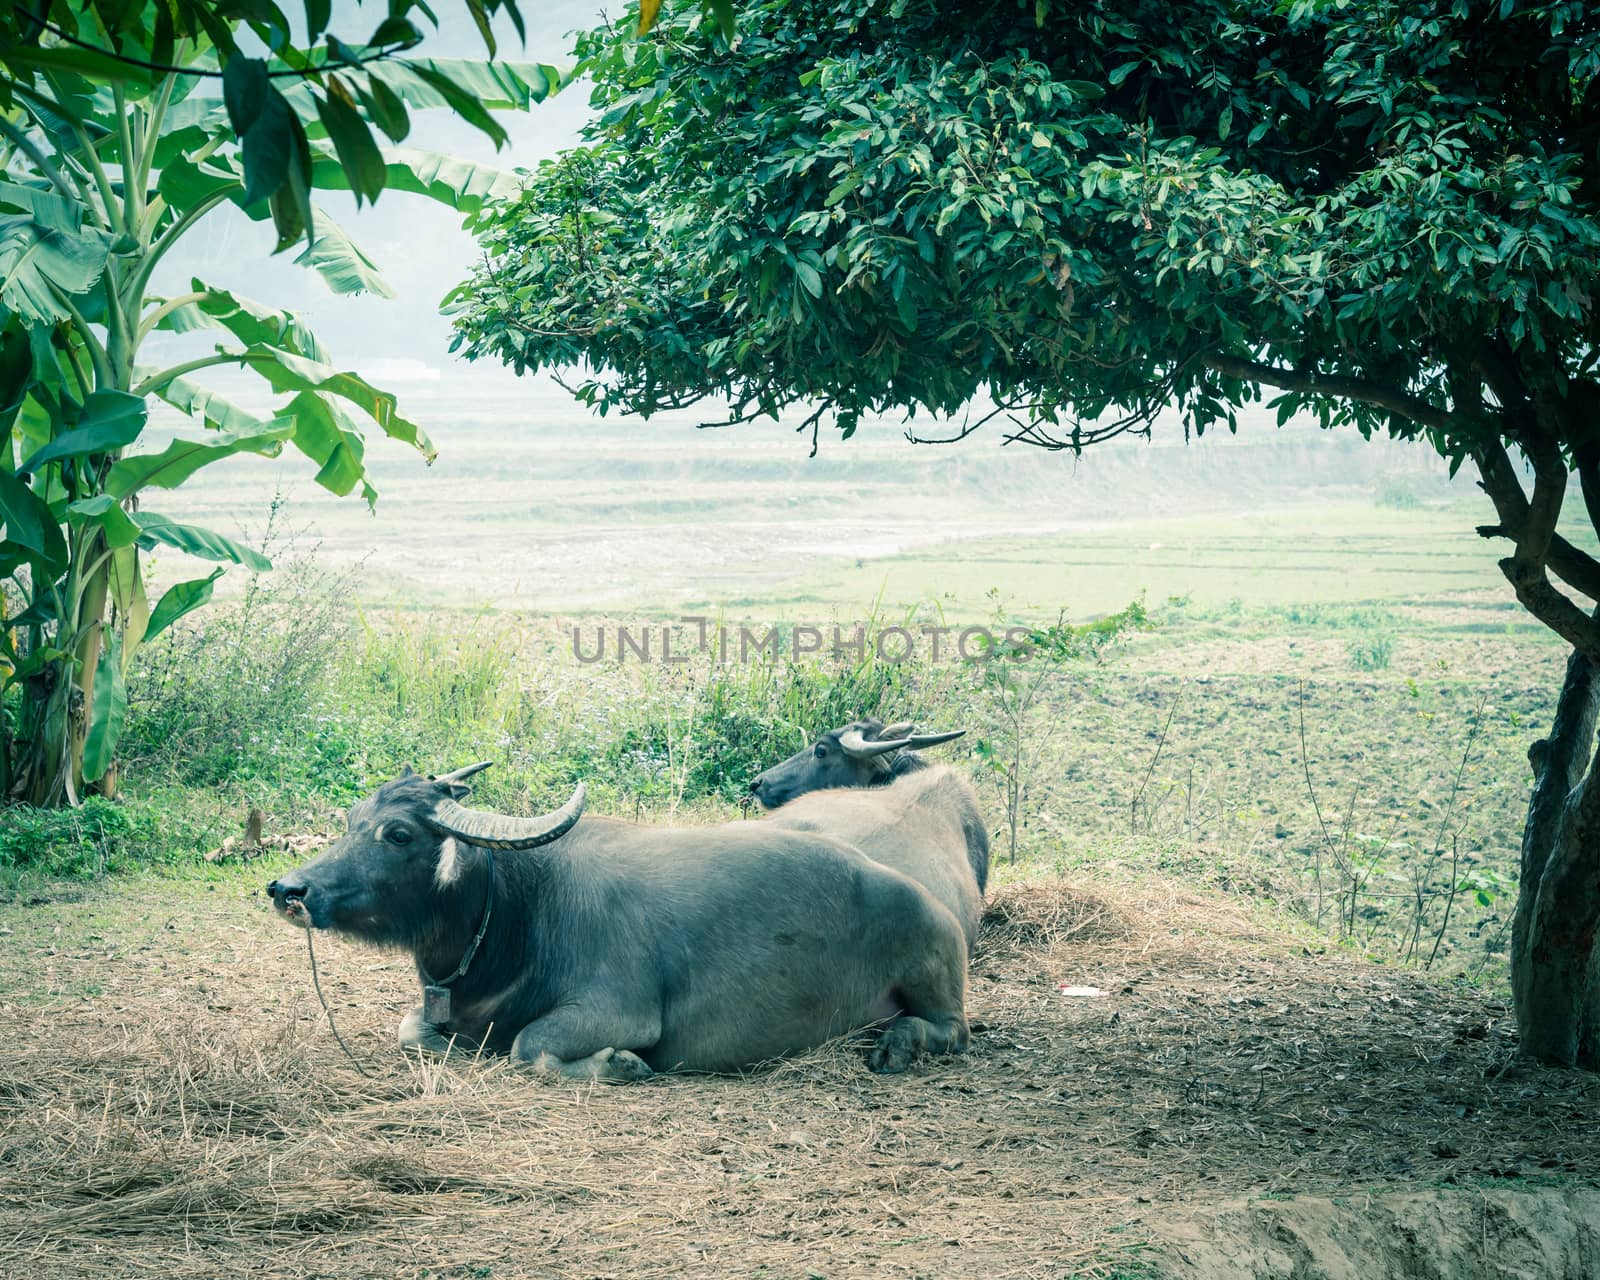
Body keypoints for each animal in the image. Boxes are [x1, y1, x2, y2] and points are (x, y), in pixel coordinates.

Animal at [264, 761, 966, 1081]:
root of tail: (928, 899)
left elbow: (529, 1047)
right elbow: (413, 1031)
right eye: (352, 822)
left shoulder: (616, 1010)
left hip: (934, 973)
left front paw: (621, 1064)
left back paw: (898, 1045)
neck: (520, 916)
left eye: (399, 833)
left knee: (952, 1030)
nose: (288, 888)